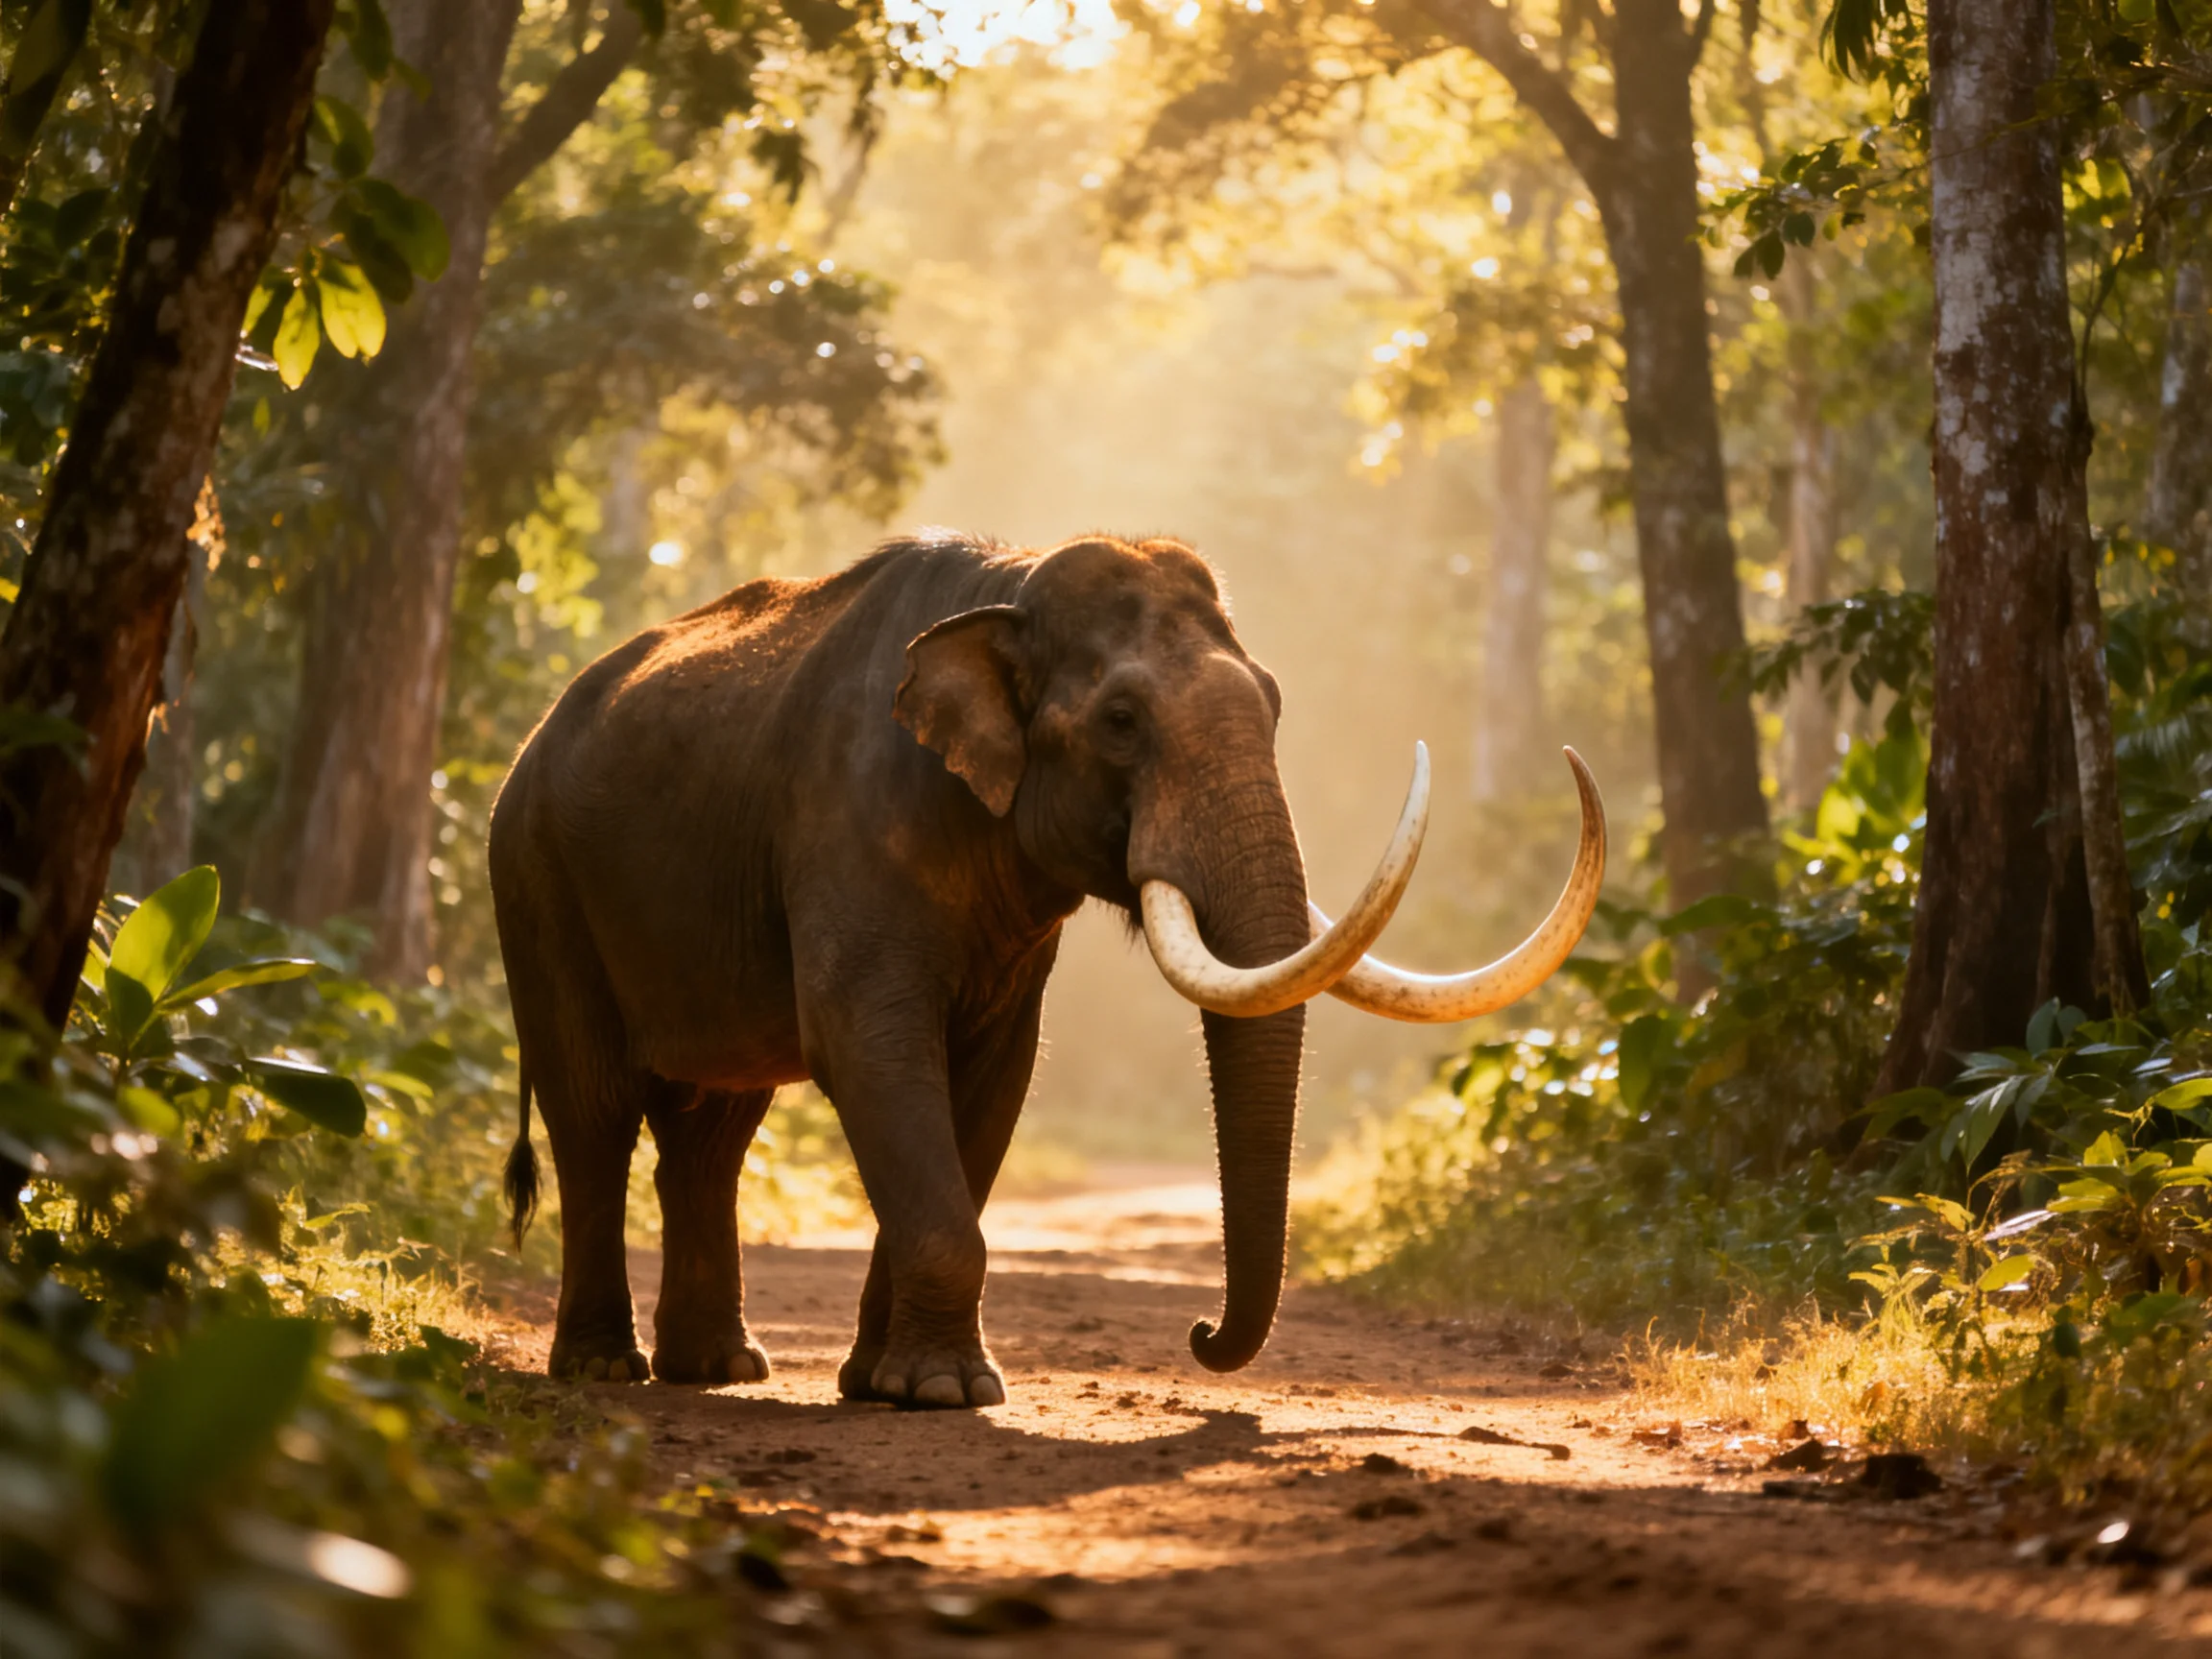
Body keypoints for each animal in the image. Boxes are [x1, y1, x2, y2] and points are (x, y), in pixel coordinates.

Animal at [490, 531, 1604, 1407]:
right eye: (1120, 720)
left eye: (1277, 703)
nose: (1200, 1335)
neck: (1009, 589)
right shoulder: (844, 828)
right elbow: (869, 1048)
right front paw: (946, 1392)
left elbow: (994, 1076)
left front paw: (890, 1385)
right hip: (533, 879)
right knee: (594, 1113)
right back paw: (604, 1370)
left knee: (712, 1133)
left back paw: (721, 1369)